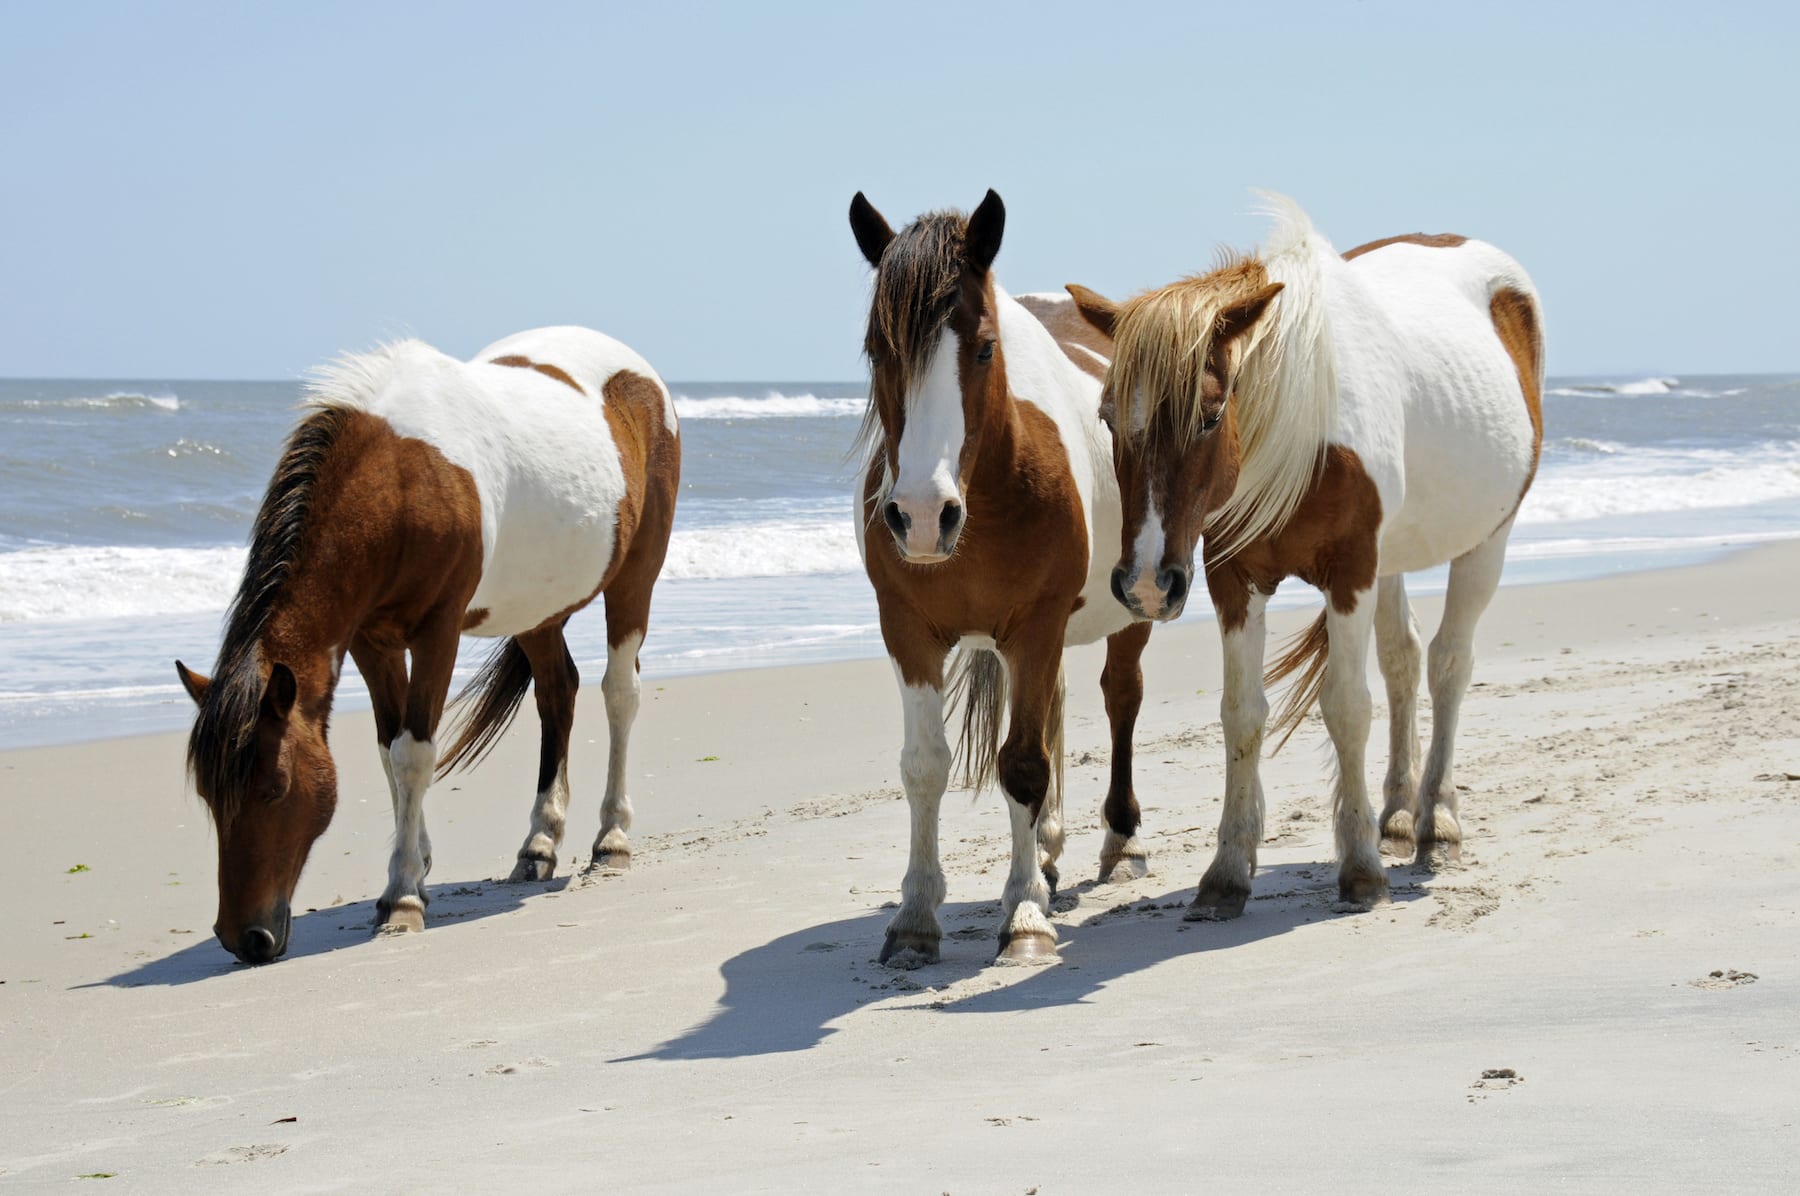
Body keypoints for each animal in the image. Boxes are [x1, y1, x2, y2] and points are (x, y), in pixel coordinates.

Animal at [177, 324, 680, 965]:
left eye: (276, 788)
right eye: (209, 795)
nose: (245, 938)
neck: (400, 480)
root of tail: (638, 373)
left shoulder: (438, 633)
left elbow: (414, 754)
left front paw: (401, 899)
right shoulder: (371, 640)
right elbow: (388, 751)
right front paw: (414, 867)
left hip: (636, 576)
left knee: (619, 694)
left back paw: (611, 840)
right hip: (536, 610)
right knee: (556, 693)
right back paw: (538, 845)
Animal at [846, 187, 1152, 965]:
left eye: (985, 347)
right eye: (877, 349)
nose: (923, 517)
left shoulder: (1036, 626)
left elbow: (1022, 766)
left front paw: (1025, 917)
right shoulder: (909, 632)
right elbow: (926, 764)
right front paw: (915, 917)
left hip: (1130, 609)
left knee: (1120, 699)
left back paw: (1120, 842)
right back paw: (1045, 849)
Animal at [1065, 198, 1548, 915]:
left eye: (1210, 416)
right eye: (1106, 416)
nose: (1148, 583)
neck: (1301, 429)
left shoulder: (1350, 573)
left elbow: (1346, 705)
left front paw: (1361, 870)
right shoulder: (1233, 580)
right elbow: (1242, 713)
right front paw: (1227, 871)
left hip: (1488, 539)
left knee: (1448, 665)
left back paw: (1436, 823)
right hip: (1393, 558)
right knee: (1403, 661)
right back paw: (1397, 815)